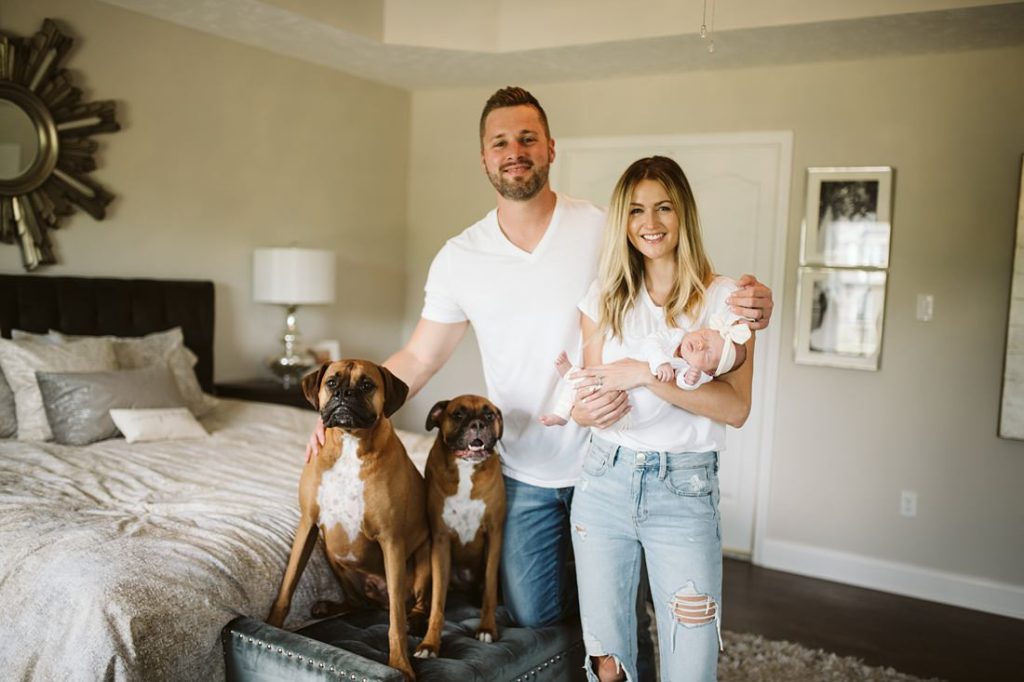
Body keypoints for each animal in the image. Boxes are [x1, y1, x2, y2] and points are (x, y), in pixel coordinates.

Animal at [268, 358, 428, 675]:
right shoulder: (308, 526)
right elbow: (286, 587)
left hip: (424, 555)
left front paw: (400, 664)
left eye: (367, 385)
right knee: (358, 603)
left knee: (409, 604)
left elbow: (395, 622)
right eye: (332, 382)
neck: (350, 444)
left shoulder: (391, 540)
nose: (345, 393)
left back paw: (415, 620)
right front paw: (272, 626)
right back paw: (329, 607)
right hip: (332, 551)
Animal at [413, 393, 505, 659]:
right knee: (423, 600)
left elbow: (490, 590)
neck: (466, 469)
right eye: (458, 414)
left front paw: (487, 628)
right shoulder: (440, 541)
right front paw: (430, 643)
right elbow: (437, 603)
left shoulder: (494, 535)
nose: (478, 424)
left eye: (489, 414)